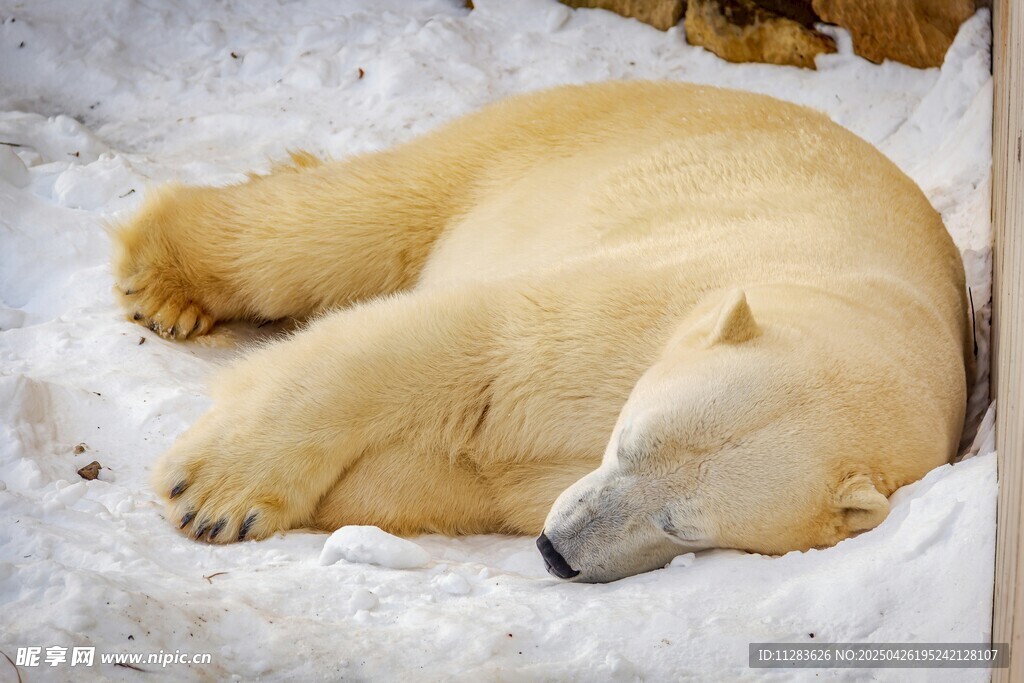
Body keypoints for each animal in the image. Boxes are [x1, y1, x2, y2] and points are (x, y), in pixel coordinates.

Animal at [112, 81, 970, 583]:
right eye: (631, 441)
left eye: (683, 523)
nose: (556, 550)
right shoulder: (647, 295)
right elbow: (459, 343)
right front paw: (213, 495)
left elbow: (459, 472)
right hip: (536, 140)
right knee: (344, 222)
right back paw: (164, 282)